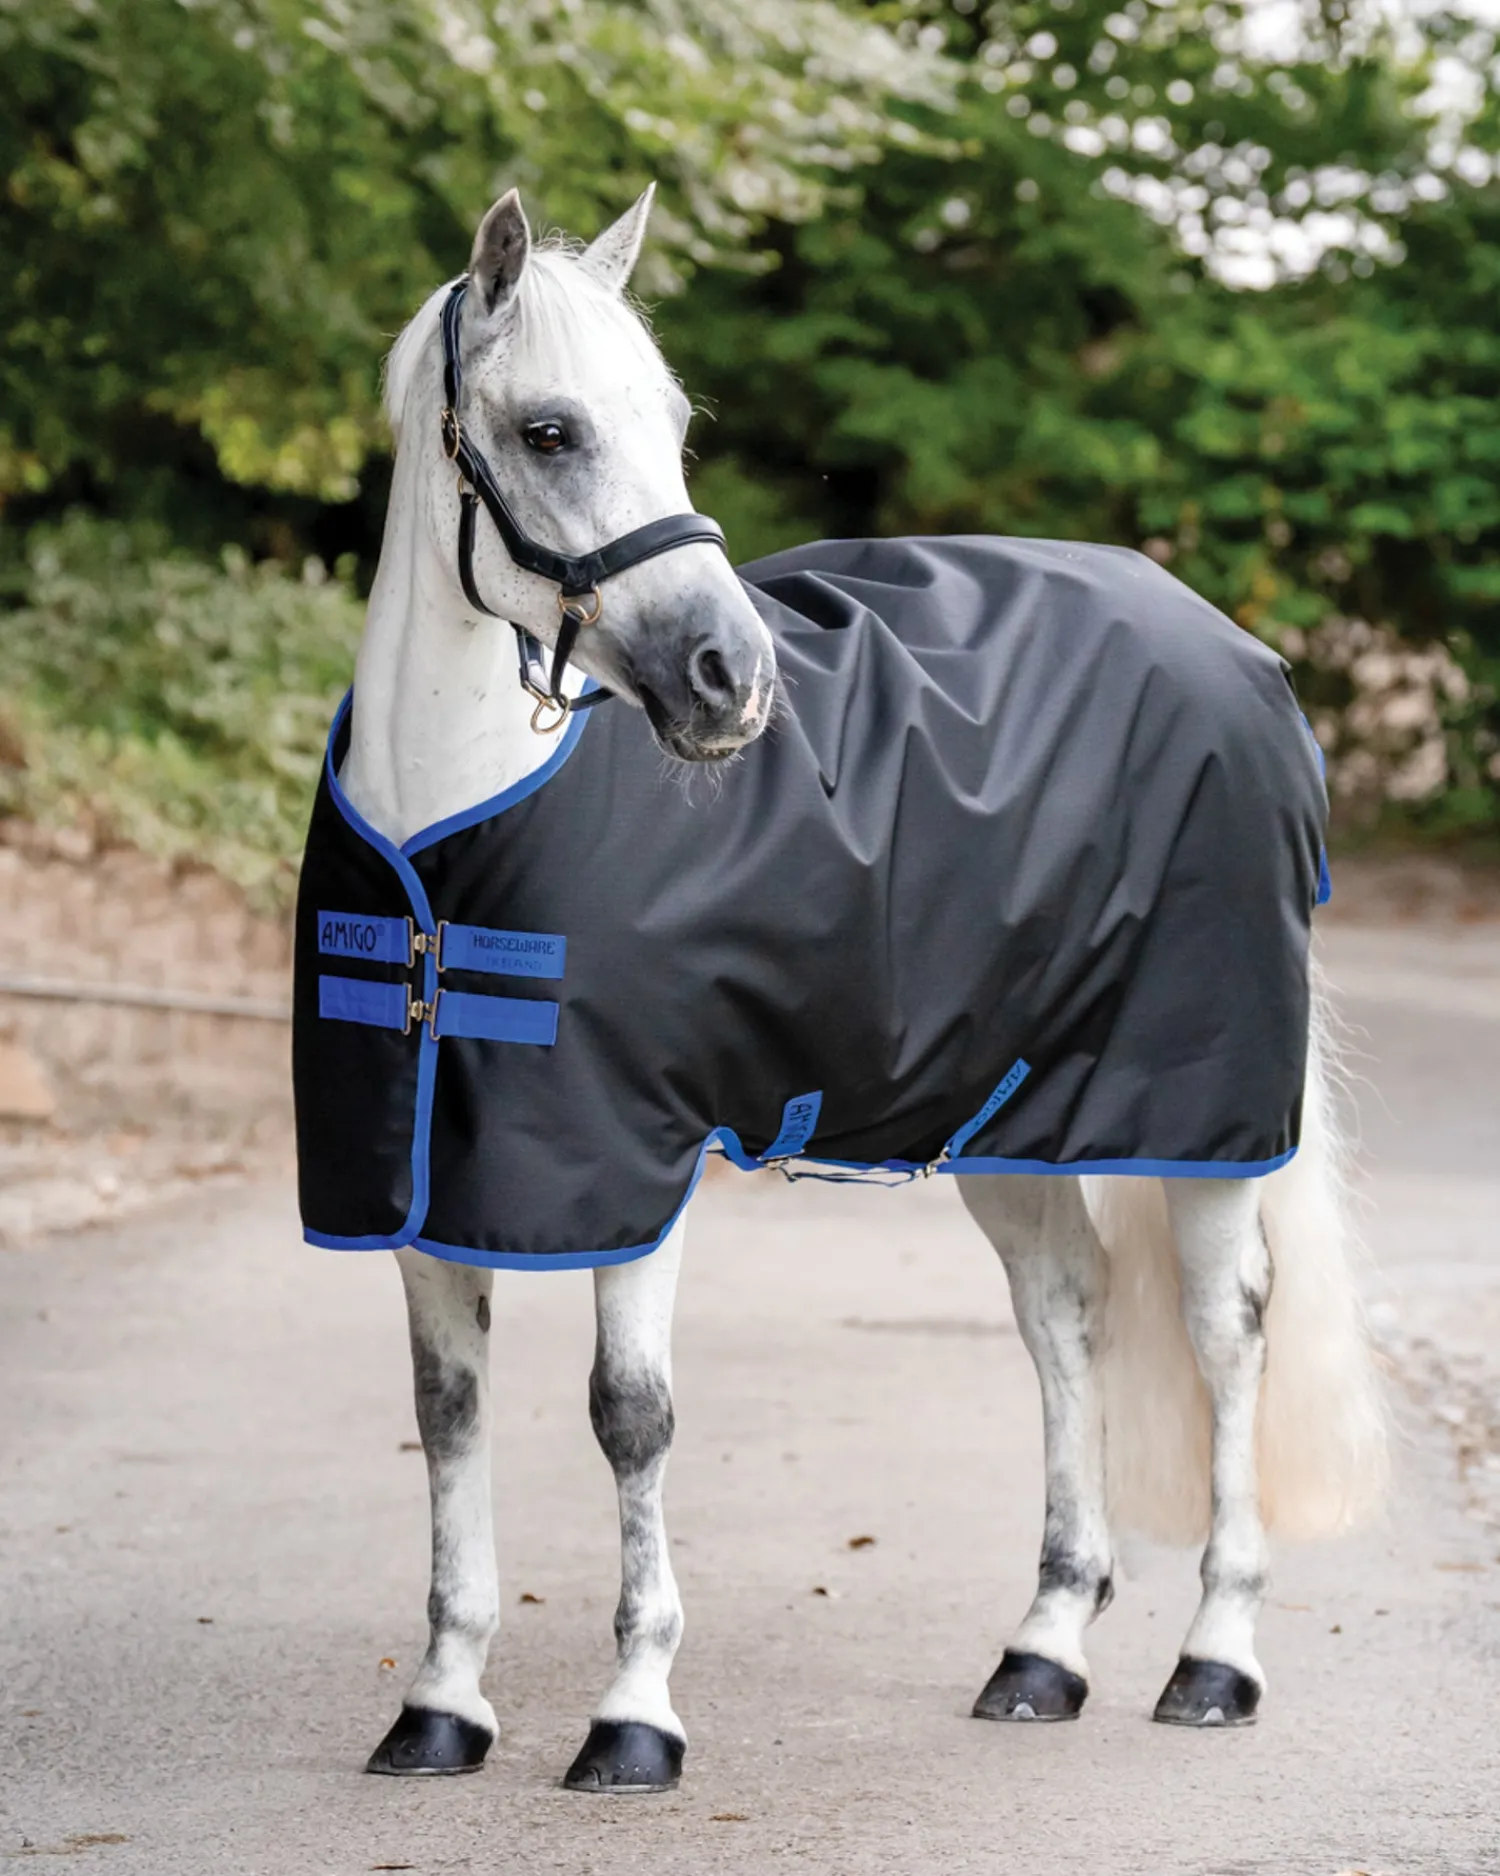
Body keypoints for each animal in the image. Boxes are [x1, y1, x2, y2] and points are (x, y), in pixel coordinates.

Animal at [307, 184, 1388, 1793]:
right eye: (551, 430)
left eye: (674, 421)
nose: (731, 678)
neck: (452, 837)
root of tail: (1239, 652)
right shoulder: (427, 1184)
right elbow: (449, 1419)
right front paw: (441, 1703)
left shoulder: (639, 1167)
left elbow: (630, 1417)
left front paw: (634, 1715)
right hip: (1011, 1119)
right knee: (1066, 1316)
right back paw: (1043, 1651)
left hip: (1202, 1118)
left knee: (1225, 1331)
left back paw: (1215, 1658)